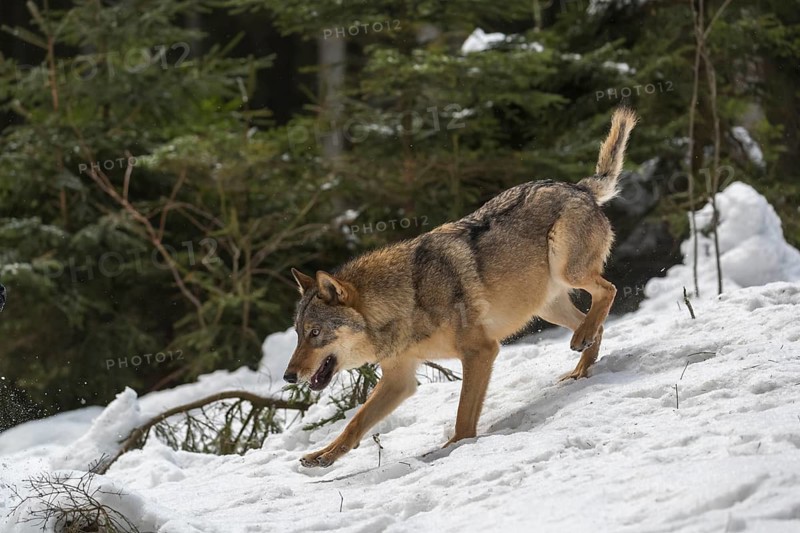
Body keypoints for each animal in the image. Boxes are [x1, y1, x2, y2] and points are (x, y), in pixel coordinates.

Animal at [285, 108, 638, 467]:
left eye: (315, 333)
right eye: (299, 334)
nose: (288, 377)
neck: (406, 299)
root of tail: (578, 187)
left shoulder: (480, 351)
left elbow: (463, 415)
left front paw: (454, 448)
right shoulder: (399, 379)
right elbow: (354, 423)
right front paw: (323, 456)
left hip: (567, 272)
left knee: (608, 290)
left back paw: (583, 343)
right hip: (546, 307)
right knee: (596, 321)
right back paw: (581, 367)